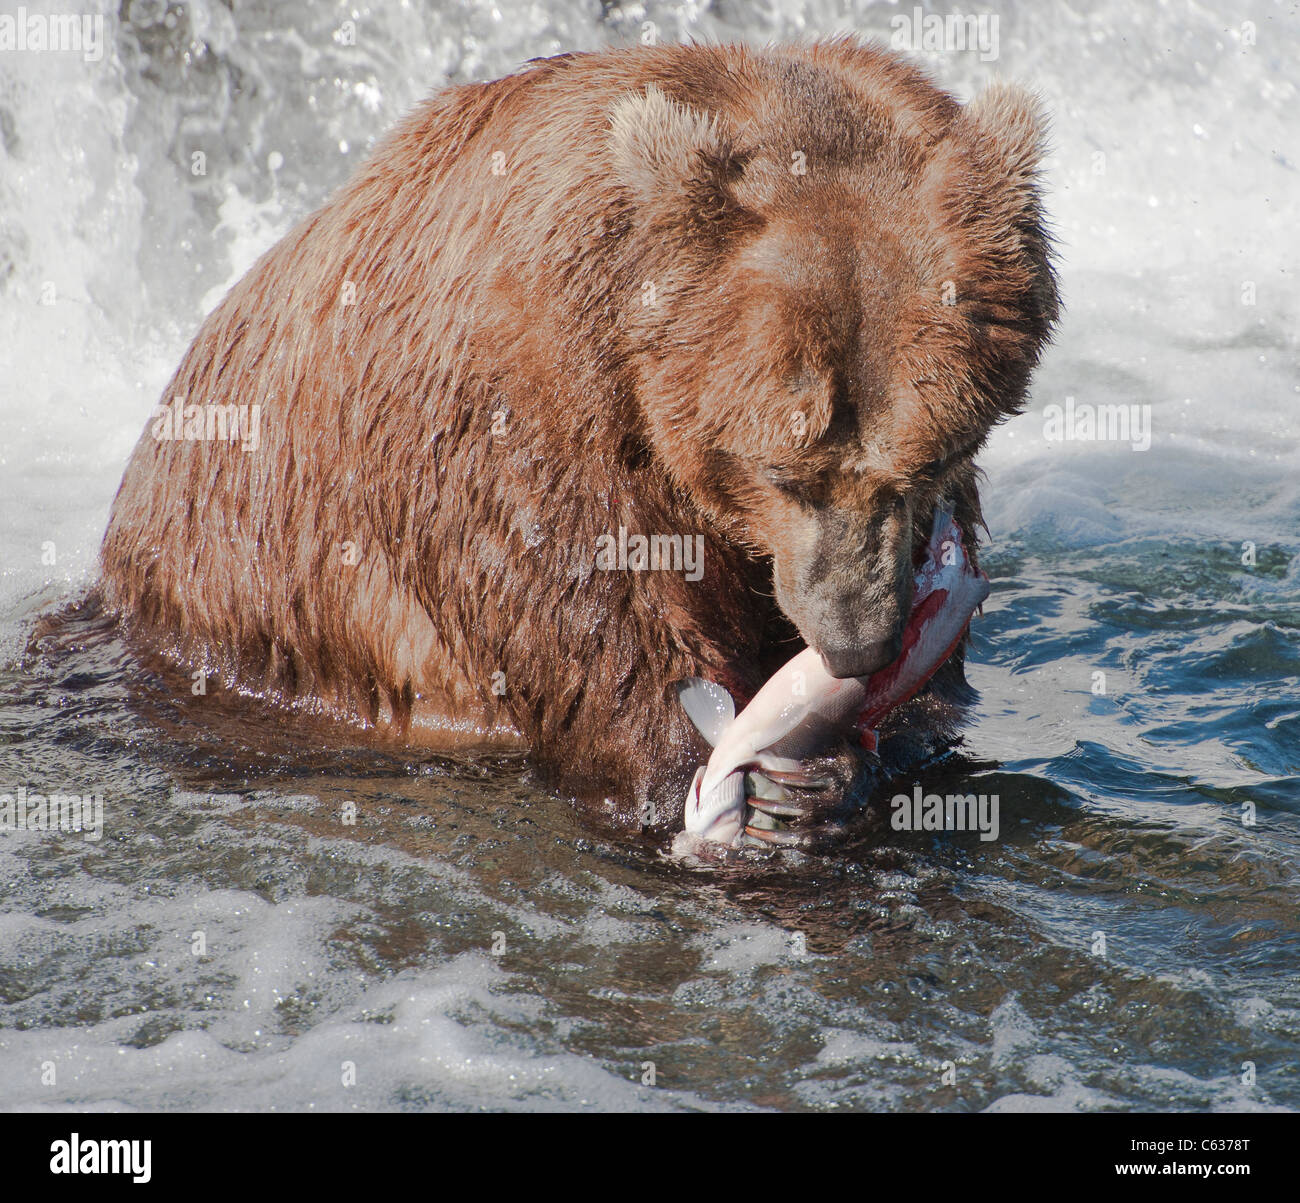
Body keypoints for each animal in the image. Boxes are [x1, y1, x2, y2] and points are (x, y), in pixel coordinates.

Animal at [101, 42, 1055, 842]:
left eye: (933, 456)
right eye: (782, 469)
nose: (856, 641)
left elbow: (942, 678)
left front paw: (833, 768)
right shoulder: (512, 407)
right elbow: (584, 615)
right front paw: (699, 768)